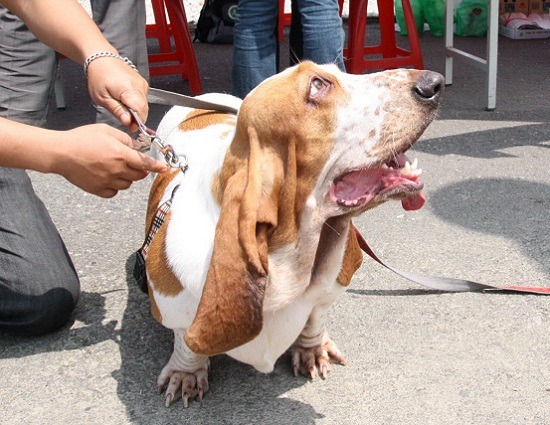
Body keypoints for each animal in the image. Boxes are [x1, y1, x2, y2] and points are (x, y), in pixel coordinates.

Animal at [144, 61, 446, 406]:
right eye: (317, 85)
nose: (434, 83)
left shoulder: (326, 290)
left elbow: (315, 317)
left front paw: (312, 350)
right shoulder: (174, 313)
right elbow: (186, 341)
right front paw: (186, 374)